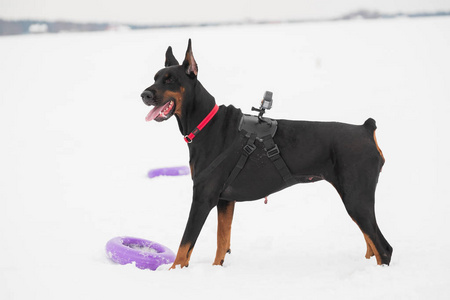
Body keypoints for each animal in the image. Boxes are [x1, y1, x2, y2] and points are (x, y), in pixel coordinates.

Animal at [142, 39, 394, 268]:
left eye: (170, 80)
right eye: (155, 78)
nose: (144, 94)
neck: (205, 123)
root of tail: (365, 128)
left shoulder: (203, 197)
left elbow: (184, 248)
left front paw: (173, 271)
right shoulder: (225, 200)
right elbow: (222, 242)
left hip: (356, 197)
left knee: (384, 248)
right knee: (371, 244)